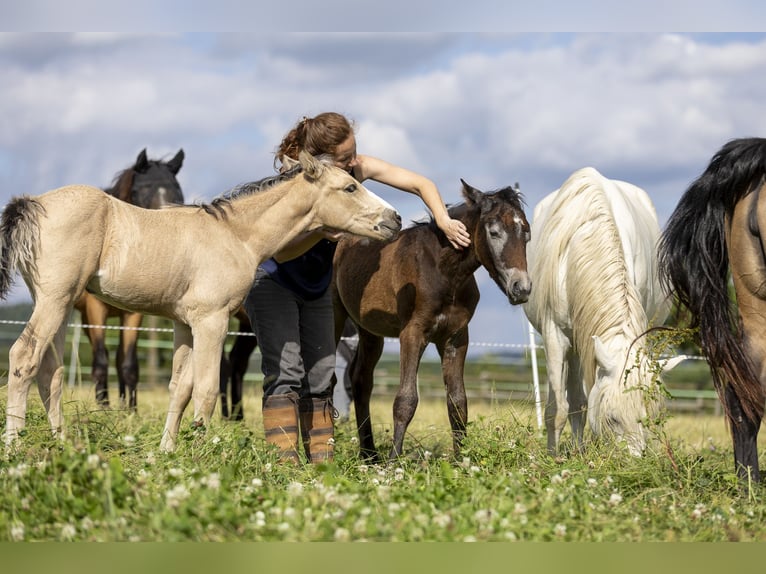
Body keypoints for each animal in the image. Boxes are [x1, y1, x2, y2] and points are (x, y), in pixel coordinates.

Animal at [0, 153, 404, 454]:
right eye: (350, 187)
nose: (395, 219)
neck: (236, 235)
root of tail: (33, 204)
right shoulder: (213, 321)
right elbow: (207, 389)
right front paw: (201, 455)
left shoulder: (185, 323)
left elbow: (180, 388)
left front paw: (166, 452)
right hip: (55, 300)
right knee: (23, 357)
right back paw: (15, 445)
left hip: (61, 304)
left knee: (50, 372)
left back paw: (62, 443)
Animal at [520, 168, 680, 460]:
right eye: (613, 418)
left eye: (647, 418)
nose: (635, 462)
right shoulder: (555, 336)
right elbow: (557, 408)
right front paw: (553, 458)